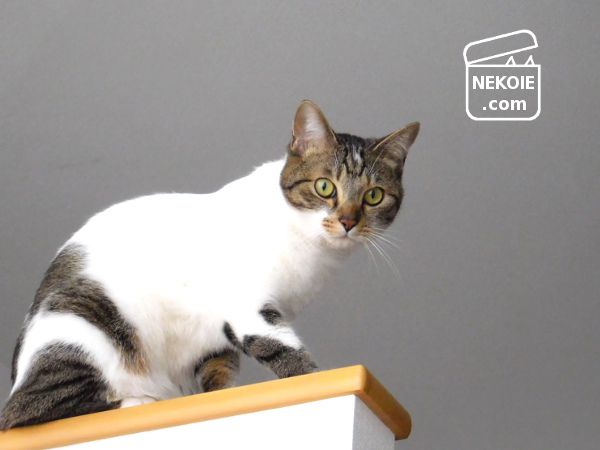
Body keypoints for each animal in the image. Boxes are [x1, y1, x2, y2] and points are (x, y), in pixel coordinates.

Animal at [0, 100, 419, 429]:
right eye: (325, 187)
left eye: (374, 196)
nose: (348, 222)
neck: (306, 241)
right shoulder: (248, 307)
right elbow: (287, 355)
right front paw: (313, 379)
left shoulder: (216, 338)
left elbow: (220, 372)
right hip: (84, 325)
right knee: (27, 411)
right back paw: (144, 400)